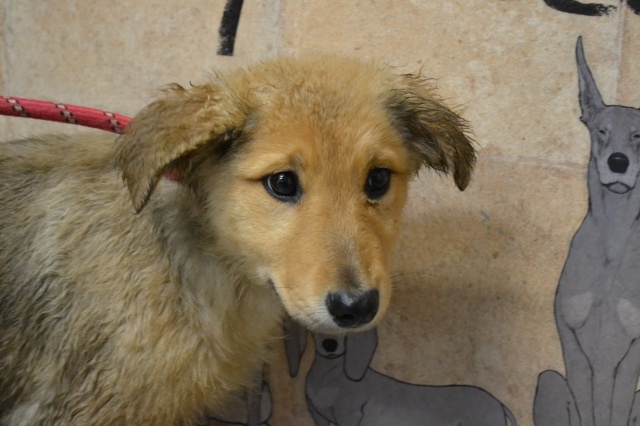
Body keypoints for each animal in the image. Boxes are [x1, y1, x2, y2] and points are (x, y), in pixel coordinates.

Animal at [534, 37, 640, 426]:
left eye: (639, 135)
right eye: (601, 130)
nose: (618, 162)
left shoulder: (631, 352)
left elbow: (615, 406)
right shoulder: (572, 342)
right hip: (548, 379)